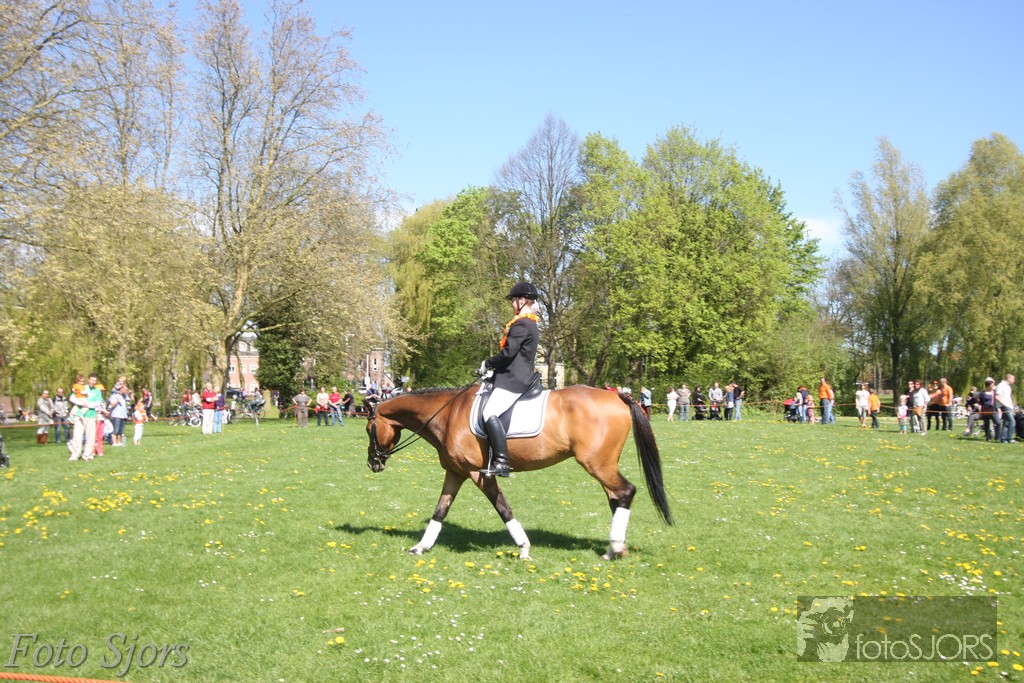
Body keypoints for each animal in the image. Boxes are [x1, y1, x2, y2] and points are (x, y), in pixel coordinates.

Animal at [365, 382, 673, 560]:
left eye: (369, 429)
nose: (373, 463)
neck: (447, 414)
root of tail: (619, 396)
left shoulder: (479, 474)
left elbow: (503, 507)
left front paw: (524, 547)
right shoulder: (456, 472)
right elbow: (441, 510)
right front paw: (421, 546)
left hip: (597, 464)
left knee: (626, 492)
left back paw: (616, 549)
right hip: (603, 465)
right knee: (616, 497)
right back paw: (613, 548)